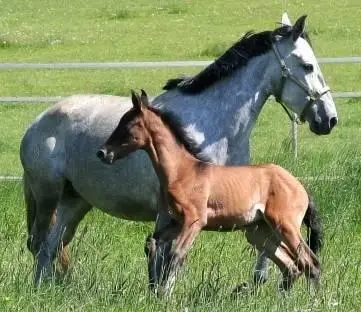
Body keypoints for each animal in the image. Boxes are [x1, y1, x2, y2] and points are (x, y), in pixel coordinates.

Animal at [97, 89, 322, 294]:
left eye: (128, 124)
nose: (103, 153)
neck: (182, 171)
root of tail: (300, 187)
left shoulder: (194, 221)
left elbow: (176, 255)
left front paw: (164, 294)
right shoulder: (177, 222)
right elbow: (152, 244)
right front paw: (155, 290)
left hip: (285, 225)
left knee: (310, 262)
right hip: (259, 231)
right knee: (291, 266)